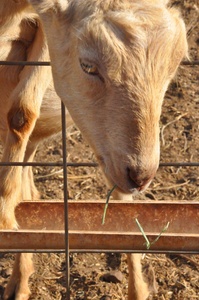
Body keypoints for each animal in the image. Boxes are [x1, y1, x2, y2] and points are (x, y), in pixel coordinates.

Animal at [0, 0, 187, 300]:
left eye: (173, 67)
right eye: (87, 66)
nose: (141, 175)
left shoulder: (46, 36)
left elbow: (22, 112)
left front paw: (5, 215)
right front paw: (7, 214)